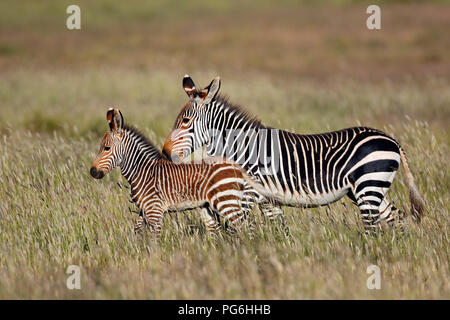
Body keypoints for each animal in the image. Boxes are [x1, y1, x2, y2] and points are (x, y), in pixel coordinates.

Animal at [90, 109, 253, 236]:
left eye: (106, 148)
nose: (92, 172)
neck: (143, 171)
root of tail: (236, 166)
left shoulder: (154, 210)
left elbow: (154, 238)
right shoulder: (144, 209)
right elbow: (137, 230)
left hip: (227, 201)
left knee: (244, 228)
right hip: (209, 205)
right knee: (217, 231)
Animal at [163, 76, 426, 234]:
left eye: (185, 122)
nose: (165, 152)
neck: (242, 146)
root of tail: (392, 140)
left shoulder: (248, 193)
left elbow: (237, 225)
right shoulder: (266, 198)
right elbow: (280, 229)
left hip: (368, 185)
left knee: (374, 227)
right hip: (368, 189)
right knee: (396, 218)